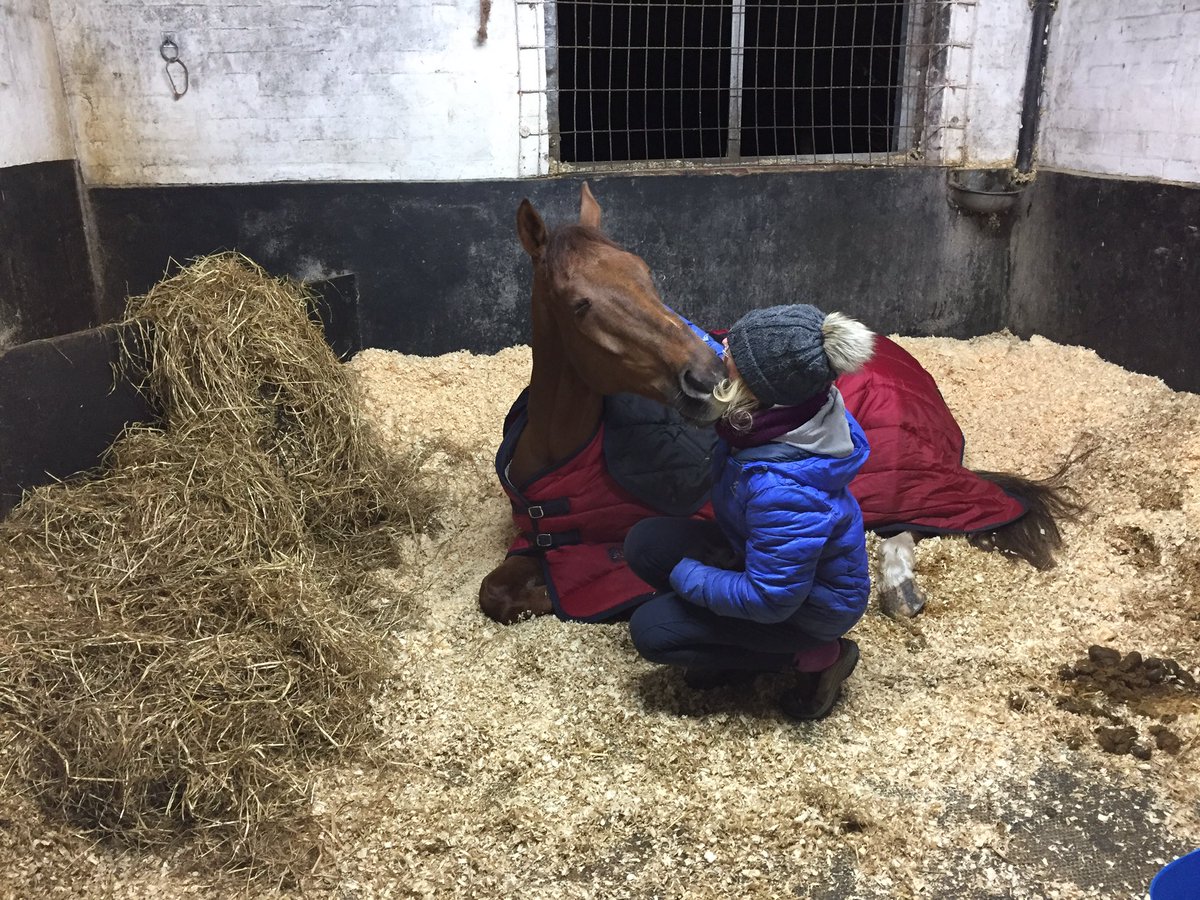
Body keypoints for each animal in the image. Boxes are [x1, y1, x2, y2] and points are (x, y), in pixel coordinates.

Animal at [478, 183, 1081, 624]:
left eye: (647, 278)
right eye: (579, 304)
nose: (707, 378)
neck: (561, 457)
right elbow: (496, 591)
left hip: (899, 478)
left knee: (911, 521)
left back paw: (900, 586)